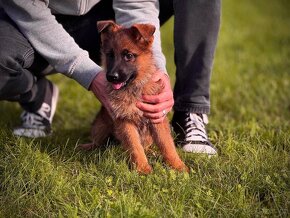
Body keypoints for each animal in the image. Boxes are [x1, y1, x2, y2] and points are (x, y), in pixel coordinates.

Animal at [81, 20, 188, 174]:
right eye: (110, 55)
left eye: (129, 56)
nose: (111, 77)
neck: (134, 89)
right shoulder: (124, 120)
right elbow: (135, 146)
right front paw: (142, 168)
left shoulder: (157, 118)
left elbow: (167, 144)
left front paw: (177, 165)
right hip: (100, 125)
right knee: (98, 142)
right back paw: (89, 147)